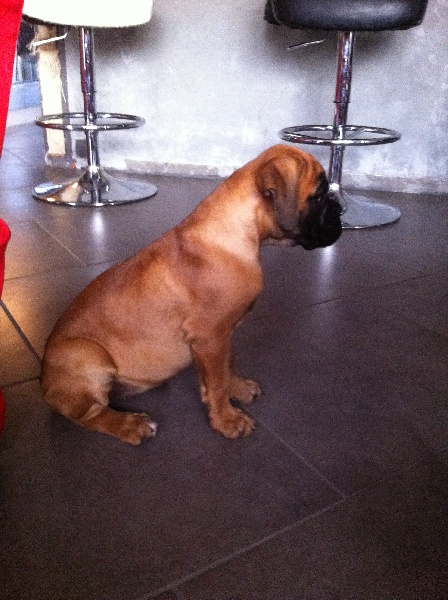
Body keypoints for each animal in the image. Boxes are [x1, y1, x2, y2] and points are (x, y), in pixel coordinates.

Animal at [41, 144, 342, 445]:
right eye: (318, 194)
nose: (341, 209)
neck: (236, 234)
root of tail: (45, 385)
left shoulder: (221, 335)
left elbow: (226, 365)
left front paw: (238, 389)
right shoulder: (209, 335)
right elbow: (216, 382)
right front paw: (226, 420)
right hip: (86, 354)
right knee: (91, 415)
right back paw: (131, 425)